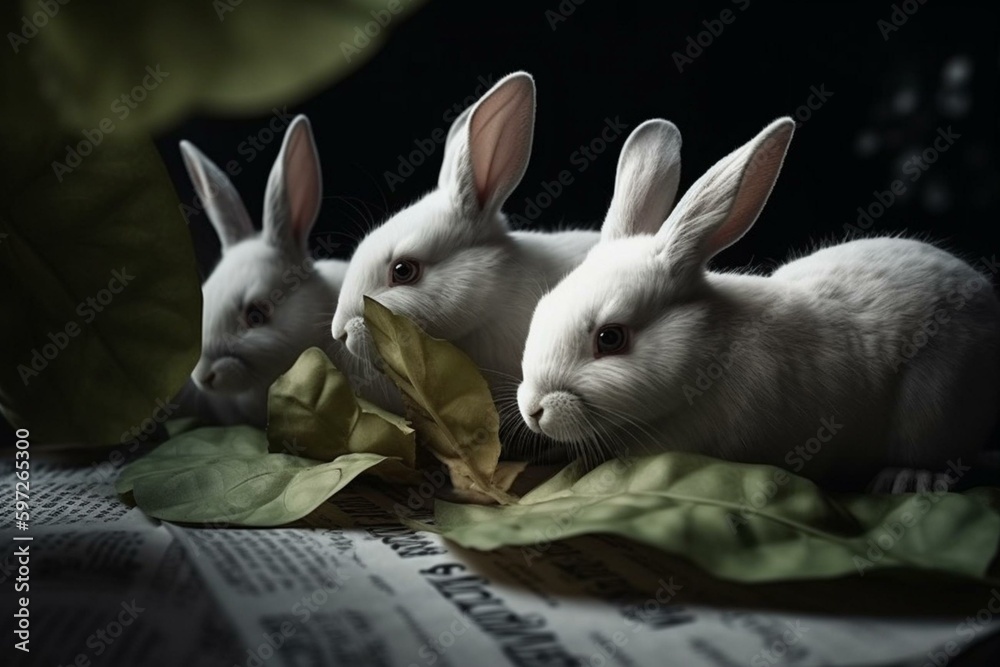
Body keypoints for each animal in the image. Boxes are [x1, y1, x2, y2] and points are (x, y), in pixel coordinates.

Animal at [517, 116, 1000, 492]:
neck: (704, 356)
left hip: (939, 405)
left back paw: (905, 479)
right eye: (543, 307)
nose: (533, 411)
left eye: (610, 338)